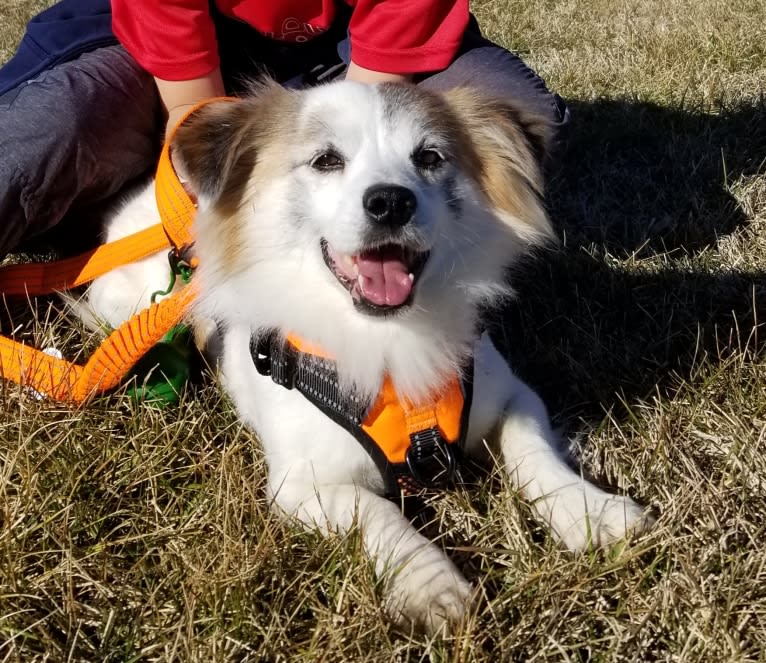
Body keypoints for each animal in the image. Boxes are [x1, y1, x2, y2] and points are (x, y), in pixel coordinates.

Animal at [81, 80, 652, 636]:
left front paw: (592, 513)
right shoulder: (302, 486)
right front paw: (430, 585)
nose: (391, 202)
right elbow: (375, 512)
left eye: (429, 157)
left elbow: (535, 453)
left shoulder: (510, 393)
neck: (390, 339)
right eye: (326, 160)